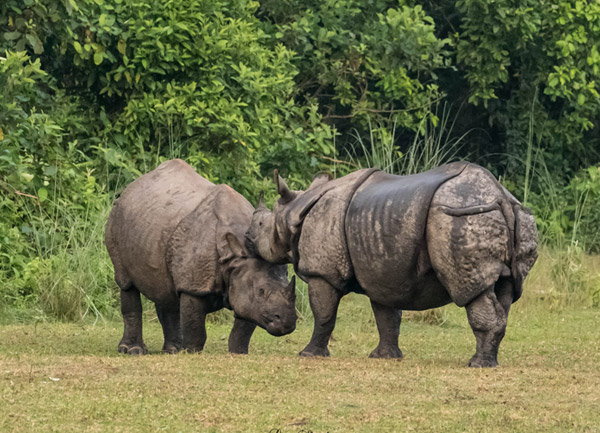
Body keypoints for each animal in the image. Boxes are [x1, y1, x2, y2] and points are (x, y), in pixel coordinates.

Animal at [107, 159, 298, 354]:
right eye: (261, 291)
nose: (287, 322)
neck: (233, 259)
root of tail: (130, 188)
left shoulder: (246, 287)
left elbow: (242, 329)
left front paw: (238, 353)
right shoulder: (194, 286)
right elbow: (195, 327)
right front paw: (191, 352)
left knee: (166, 289)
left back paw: (172, 350)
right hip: (116, 217)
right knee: (126, 284)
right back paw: (133, 351)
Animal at [246, 161, 536, 364]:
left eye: (260, 224)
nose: (246, 237)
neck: (292, 214)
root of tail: (500, 195)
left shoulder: (322, 272)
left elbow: (324, 314)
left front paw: (308, 355)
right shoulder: (382, 271)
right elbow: (387, 316)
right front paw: (384, 357)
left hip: (460, 215)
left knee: (472, 290)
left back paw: (477, 364)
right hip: (515, 215)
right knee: (506, 289)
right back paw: (488, 360)